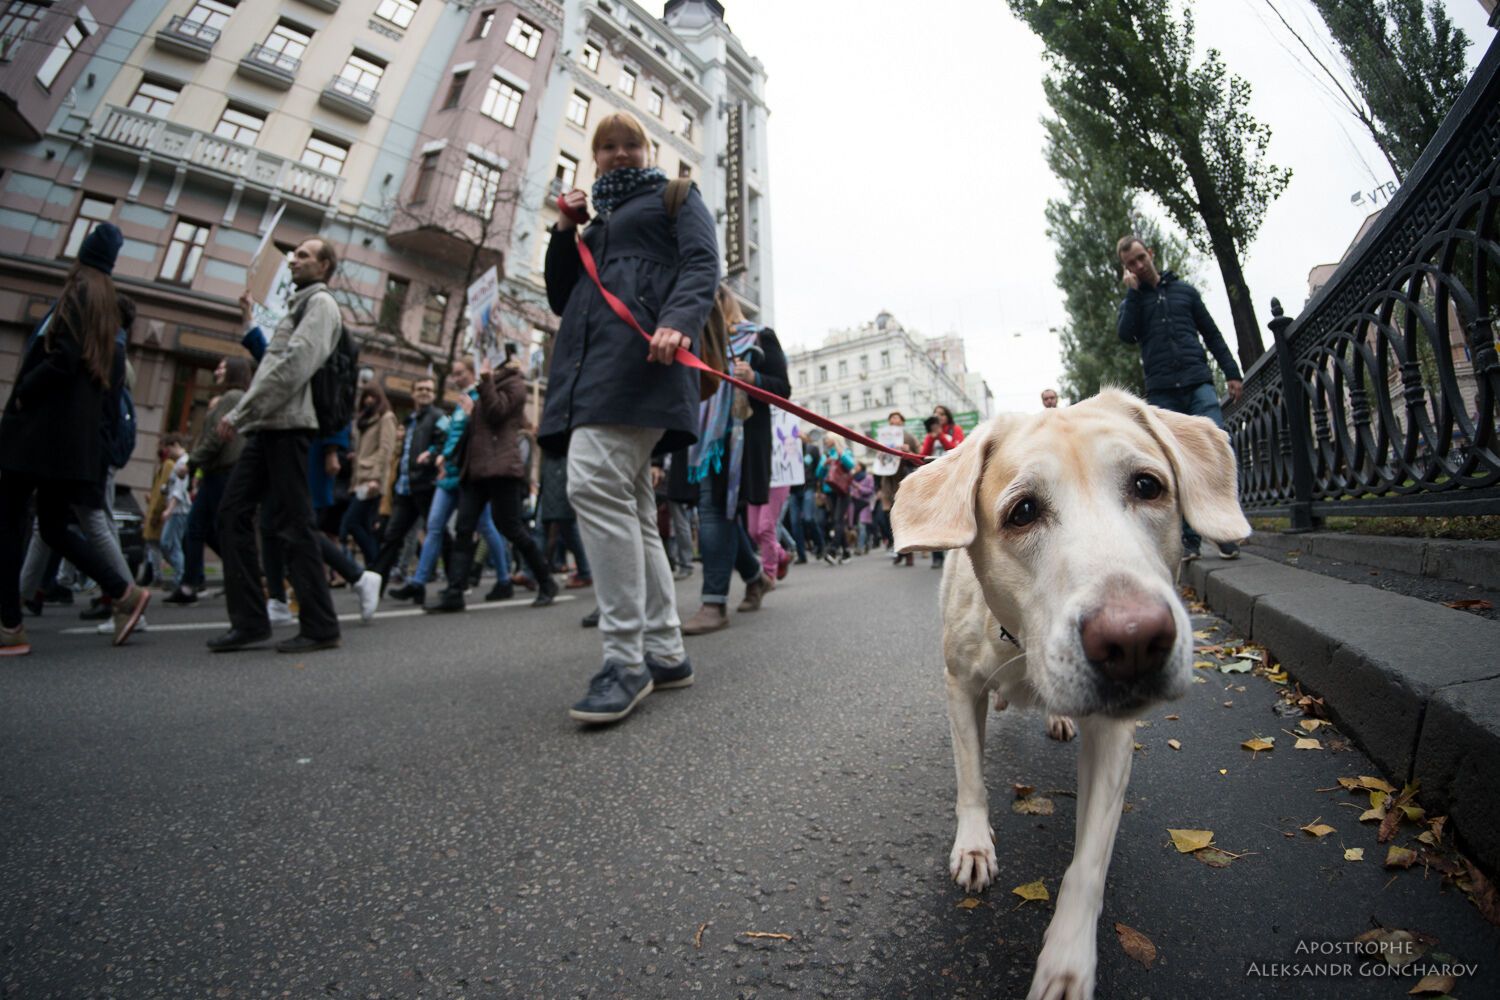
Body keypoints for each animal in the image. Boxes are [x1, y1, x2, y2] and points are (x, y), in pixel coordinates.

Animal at [888, 389, 1254, 1000]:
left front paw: (1066, 959)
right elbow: (971, 779)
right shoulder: (960, 686)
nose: (1134, 640)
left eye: (1148, 485)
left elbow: (1088, 864)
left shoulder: (1113, 732)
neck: (1021, 641)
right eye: (1022, 512)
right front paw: (974, 845)